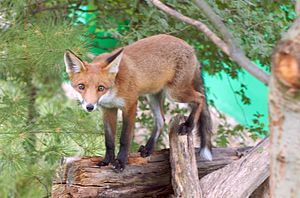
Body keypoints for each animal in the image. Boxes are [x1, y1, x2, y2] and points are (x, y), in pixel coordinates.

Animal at [64, 33, 212, 172]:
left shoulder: (130, 105)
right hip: (153, 96)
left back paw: (188, 125)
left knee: (200, 98)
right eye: (81, 86)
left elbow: (124, 138)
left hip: (175, 93)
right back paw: (149, 148)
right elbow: (109, 141)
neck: (113, 89)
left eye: (101, 88)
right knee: (161, 120)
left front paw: (121, 162)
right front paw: (107, 161)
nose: (89, 107)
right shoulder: (108, 109)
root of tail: (190, 47)